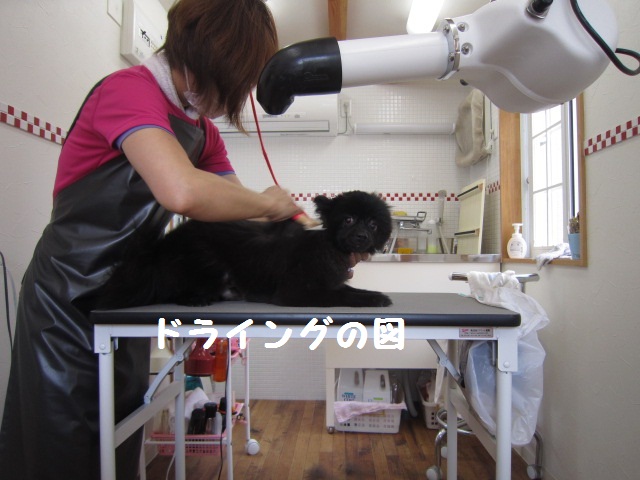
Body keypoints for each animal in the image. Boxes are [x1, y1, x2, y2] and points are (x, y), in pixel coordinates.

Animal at [99, 191, 393, 308]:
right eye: (348, 219)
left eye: (374, 224)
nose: (362, 236)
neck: (328, 248)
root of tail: (161, 247)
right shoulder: (296, 292)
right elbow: (342, 295)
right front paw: (372, 299)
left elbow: (351, 289)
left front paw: (374, 294)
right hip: (205, 264)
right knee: (170, 290)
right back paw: (194, 298)